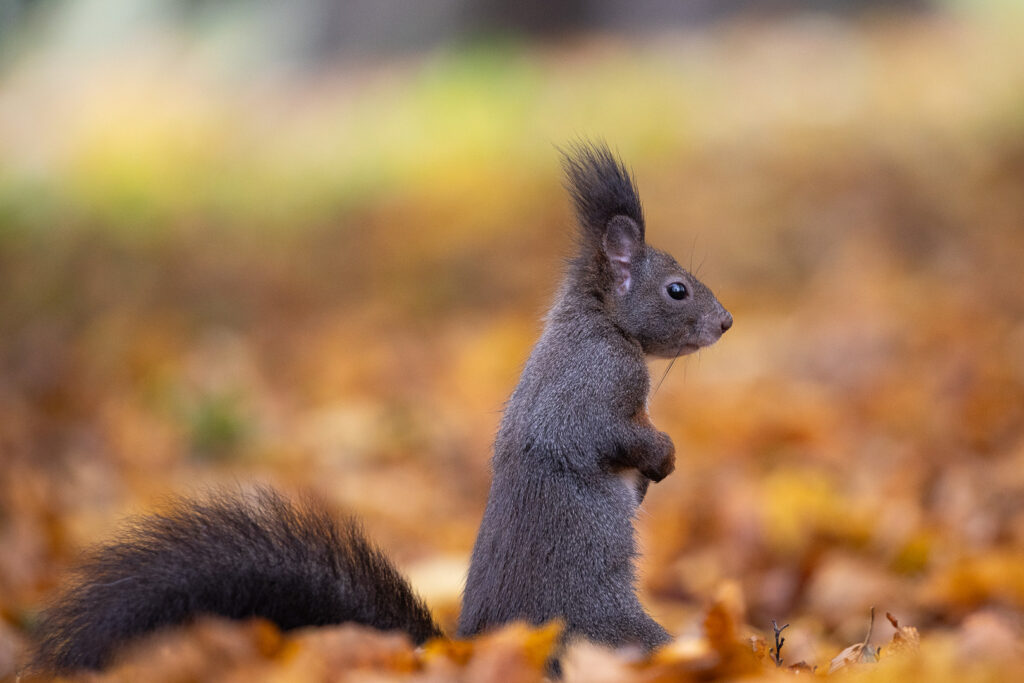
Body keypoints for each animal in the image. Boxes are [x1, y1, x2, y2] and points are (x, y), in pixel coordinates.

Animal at [29, 141, 732, 674]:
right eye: (677, 290)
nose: (725, 323)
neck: (598, 321)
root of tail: (472, 653)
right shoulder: (590, 389)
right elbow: (608, 435)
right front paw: (661, 459)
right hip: (611, 630)